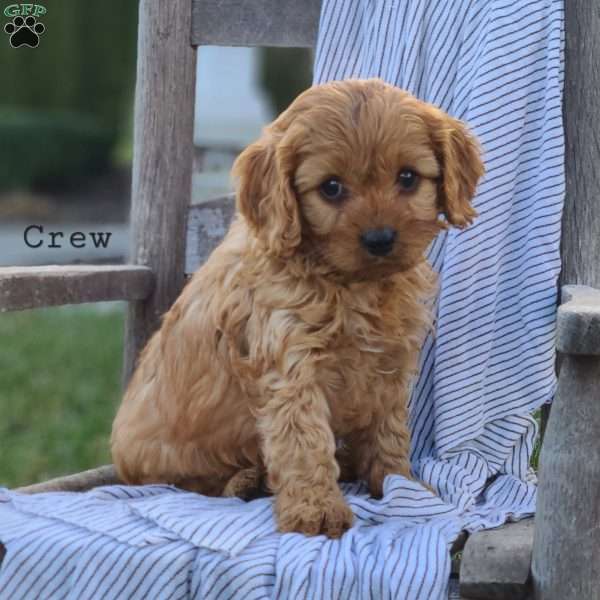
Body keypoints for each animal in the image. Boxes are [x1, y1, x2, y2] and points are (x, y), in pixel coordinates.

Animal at [111, 78, 482, 540]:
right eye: (331, 187)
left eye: (408, 177)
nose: (380, 239)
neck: (351, 285)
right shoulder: (290, 365)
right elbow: (304, 442)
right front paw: (316, 510)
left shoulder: (389, 365)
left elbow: (389, 431)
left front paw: (399, 483)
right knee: (194, 483)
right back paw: (245, 481)